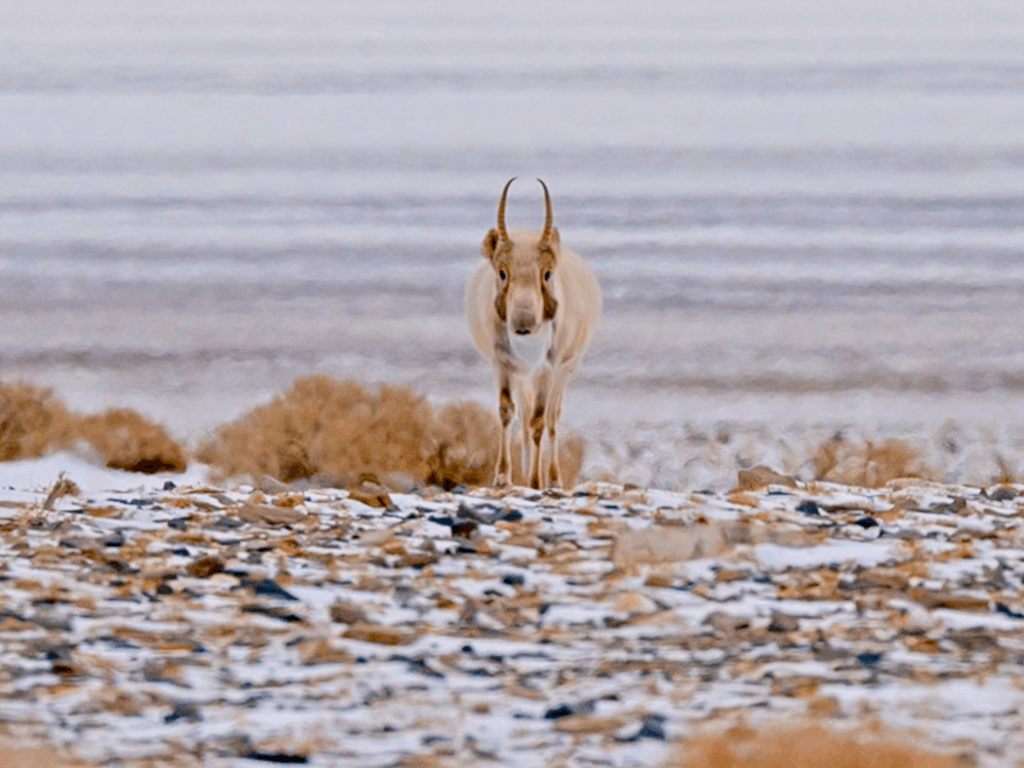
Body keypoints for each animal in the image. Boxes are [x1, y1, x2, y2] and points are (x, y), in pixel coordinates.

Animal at [465, 178, 602, 489]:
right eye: (502, 272)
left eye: (548, 273)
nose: (523, 324)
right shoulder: (503, 364)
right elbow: (507, 413)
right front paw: (503, 476)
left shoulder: (547, 370)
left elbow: (540, 420)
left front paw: (536, 481)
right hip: (521, 376)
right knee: (525, 417)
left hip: (564, 372)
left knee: (551, 418)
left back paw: (552, 477)